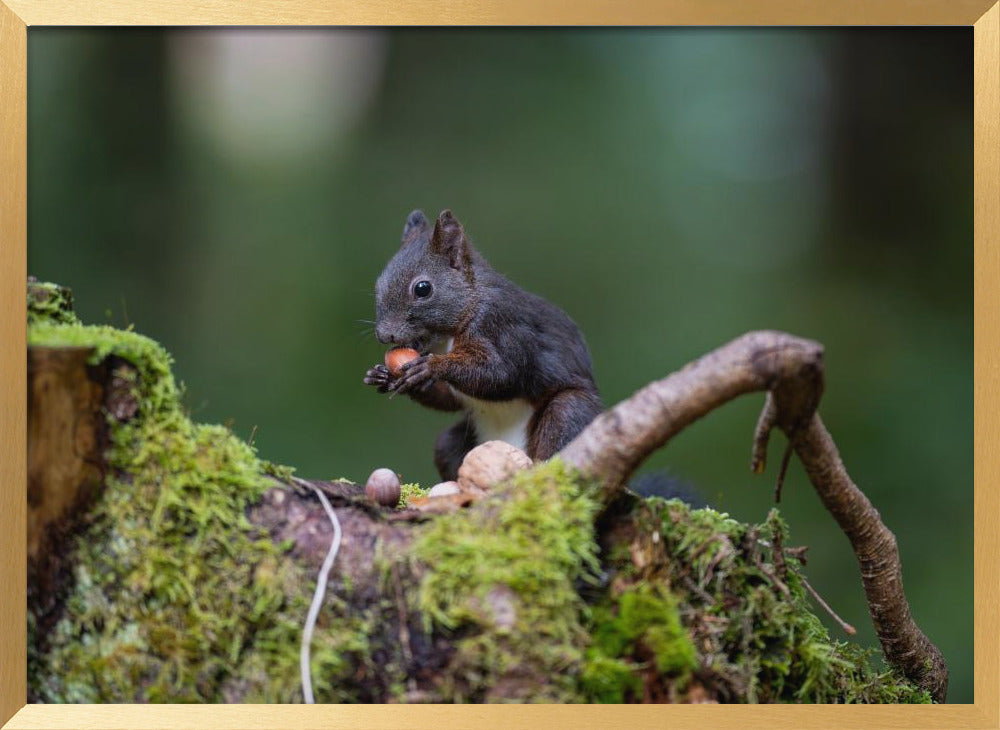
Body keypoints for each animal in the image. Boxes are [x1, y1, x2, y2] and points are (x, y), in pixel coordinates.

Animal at [363, 208, 604, 482]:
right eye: (378, 284)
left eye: (423, 289)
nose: (385, 335)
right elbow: (450, 399)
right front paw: (382, 375)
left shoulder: (502, 324)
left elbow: (502, 374)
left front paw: (432, 367)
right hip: (456, 443)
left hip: (569, 413)